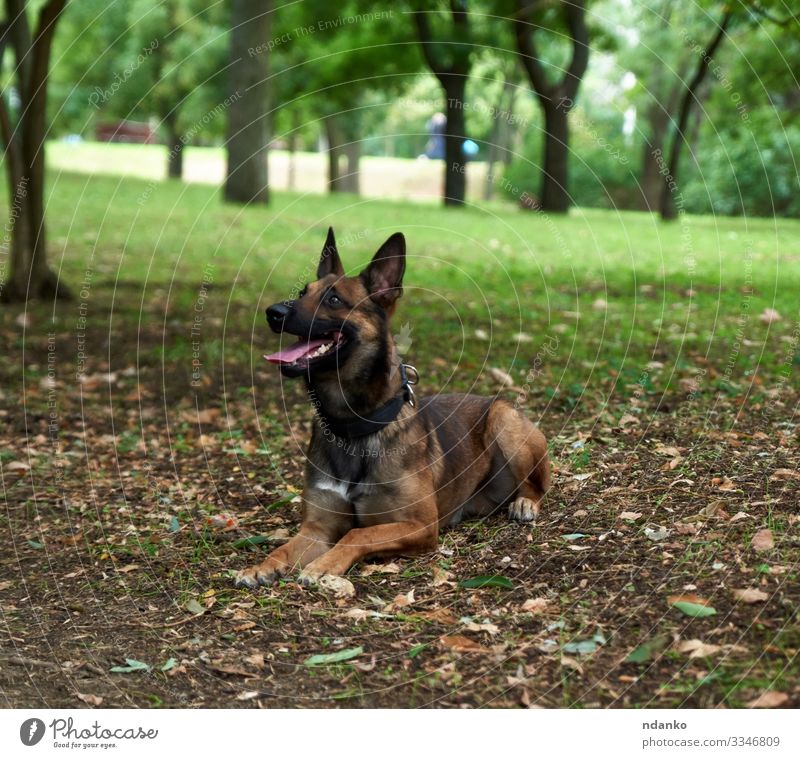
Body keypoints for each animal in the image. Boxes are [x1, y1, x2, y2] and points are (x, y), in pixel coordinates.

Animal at [238, 229, 552, 592]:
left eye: (334, 300)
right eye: (304, 292)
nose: (273, 312)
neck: (354, 427)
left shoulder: (420, 525)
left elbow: (358, 534)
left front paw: (324, 565)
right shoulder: (316, 530)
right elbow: (285, 547)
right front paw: (260, 566)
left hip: (503, 418)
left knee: (537, 486)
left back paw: (524, 502)